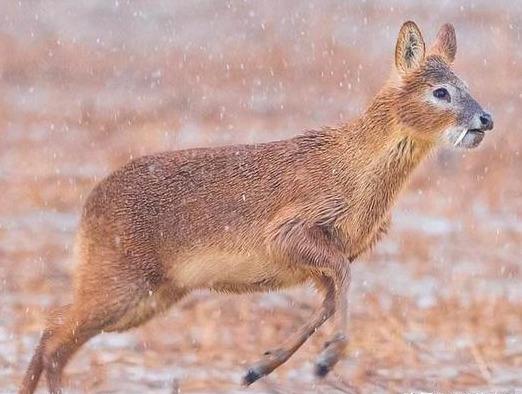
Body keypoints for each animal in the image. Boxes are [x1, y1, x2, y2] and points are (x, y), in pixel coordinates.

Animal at [20, 21, 492, 394]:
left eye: (467, 86)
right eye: (441, 91)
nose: (485, 119)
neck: (354, 173)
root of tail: (88, 209)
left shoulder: (322, 260)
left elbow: (327, 302)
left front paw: (259, 368)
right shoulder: (289, 233)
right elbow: (342, 282)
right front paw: (325, 361)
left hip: (151, 294)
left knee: (55, 333)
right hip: (121, 281)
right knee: (55, 337)